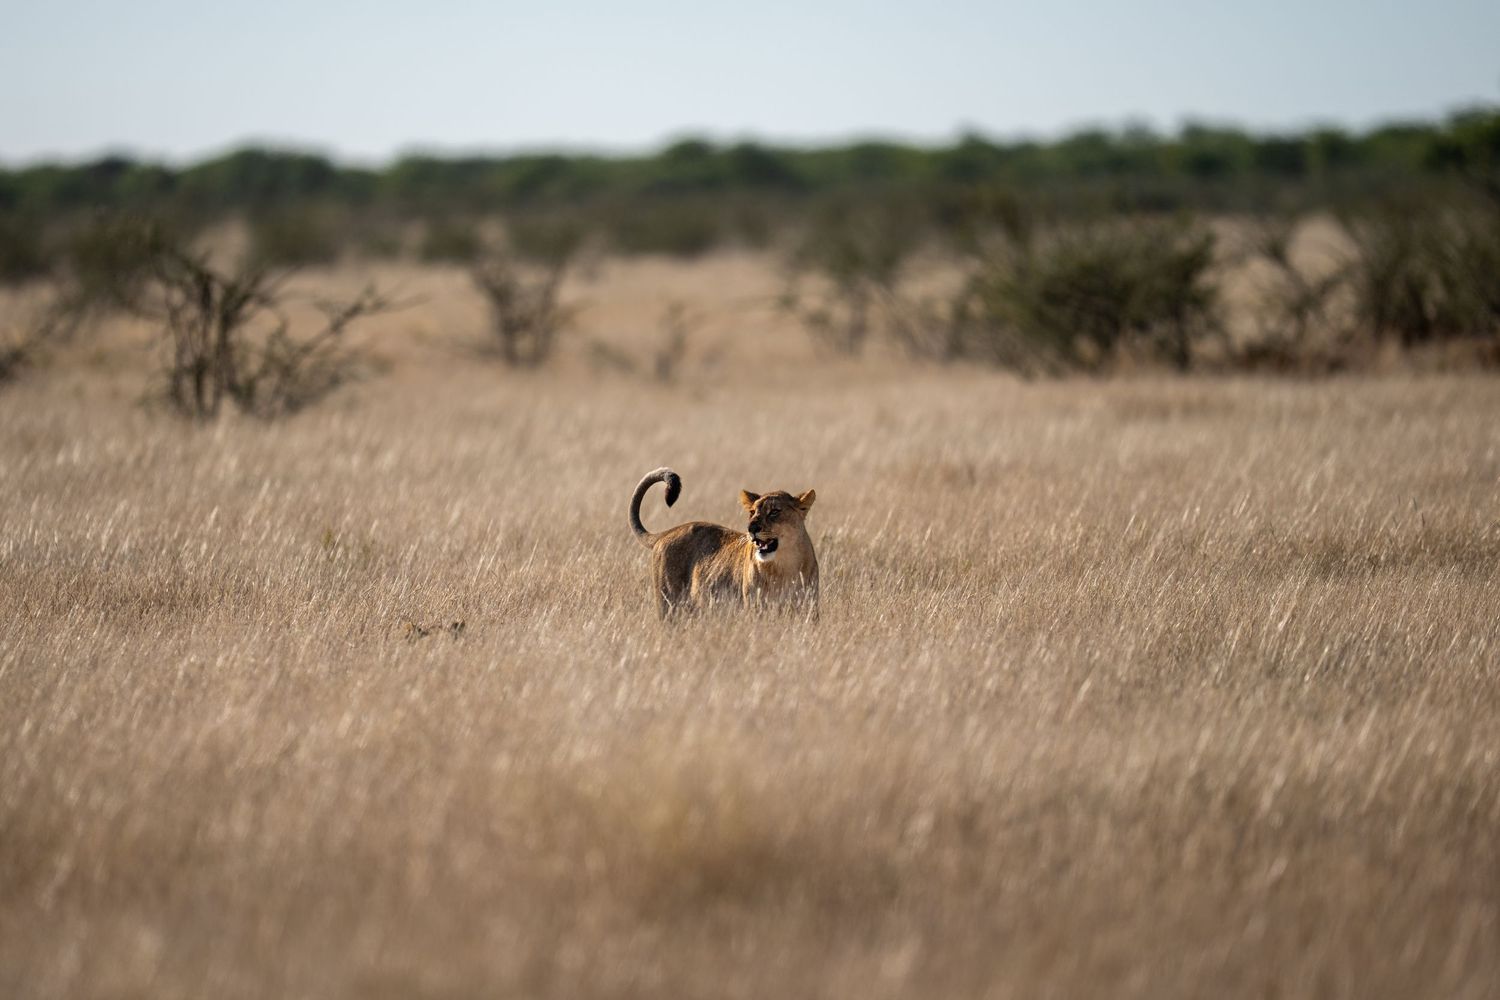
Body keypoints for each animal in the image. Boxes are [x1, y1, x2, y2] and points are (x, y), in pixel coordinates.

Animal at [628, 467, 819, 619]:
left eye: (774, 512)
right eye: (752, 512)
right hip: (669, 607)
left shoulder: (808, 608)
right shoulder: (755, 608)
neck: (783, 565)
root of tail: (666, 533)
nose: (751, 527)